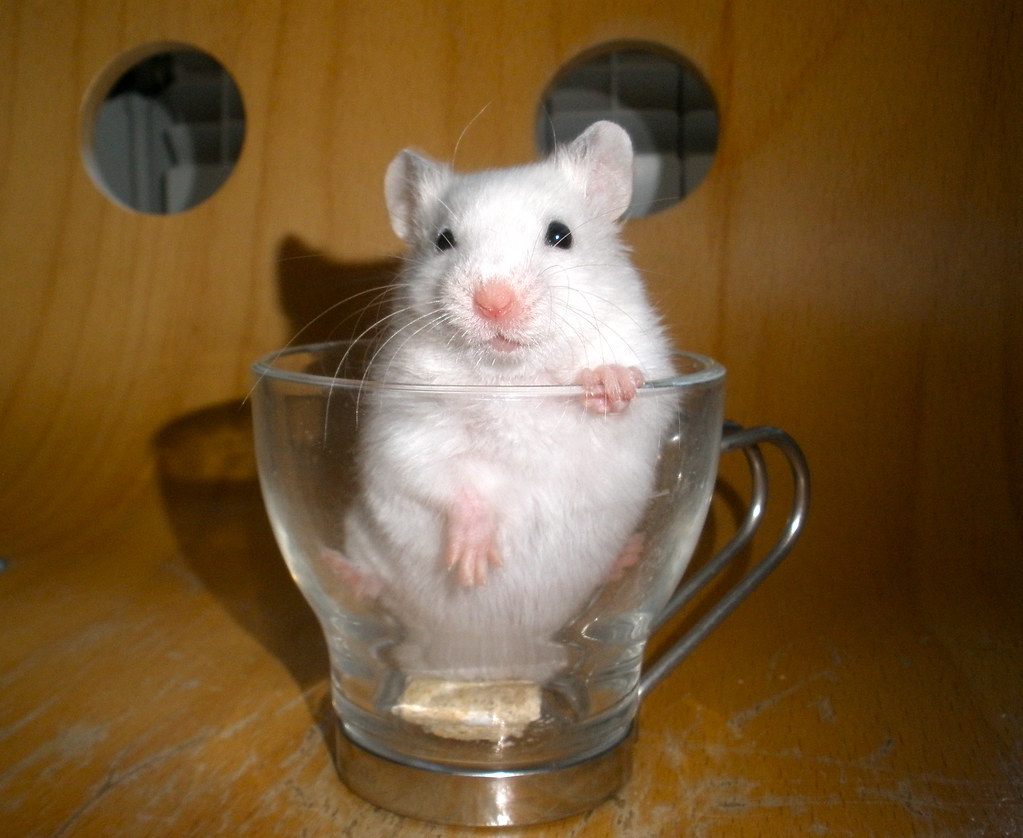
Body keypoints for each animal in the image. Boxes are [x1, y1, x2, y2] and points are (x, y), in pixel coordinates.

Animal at [332, 121, 677, 682]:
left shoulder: (651, 376)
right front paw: (471, 567)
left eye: (560, 235)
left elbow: (625, 389)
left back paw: (627, 556)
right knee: (377, 590)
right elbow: (453, 482)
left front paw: (611, 384)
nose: (493, 302)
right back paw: (344, 573)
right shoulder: (407, 427)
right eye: (443, 241)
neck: (511, 377)